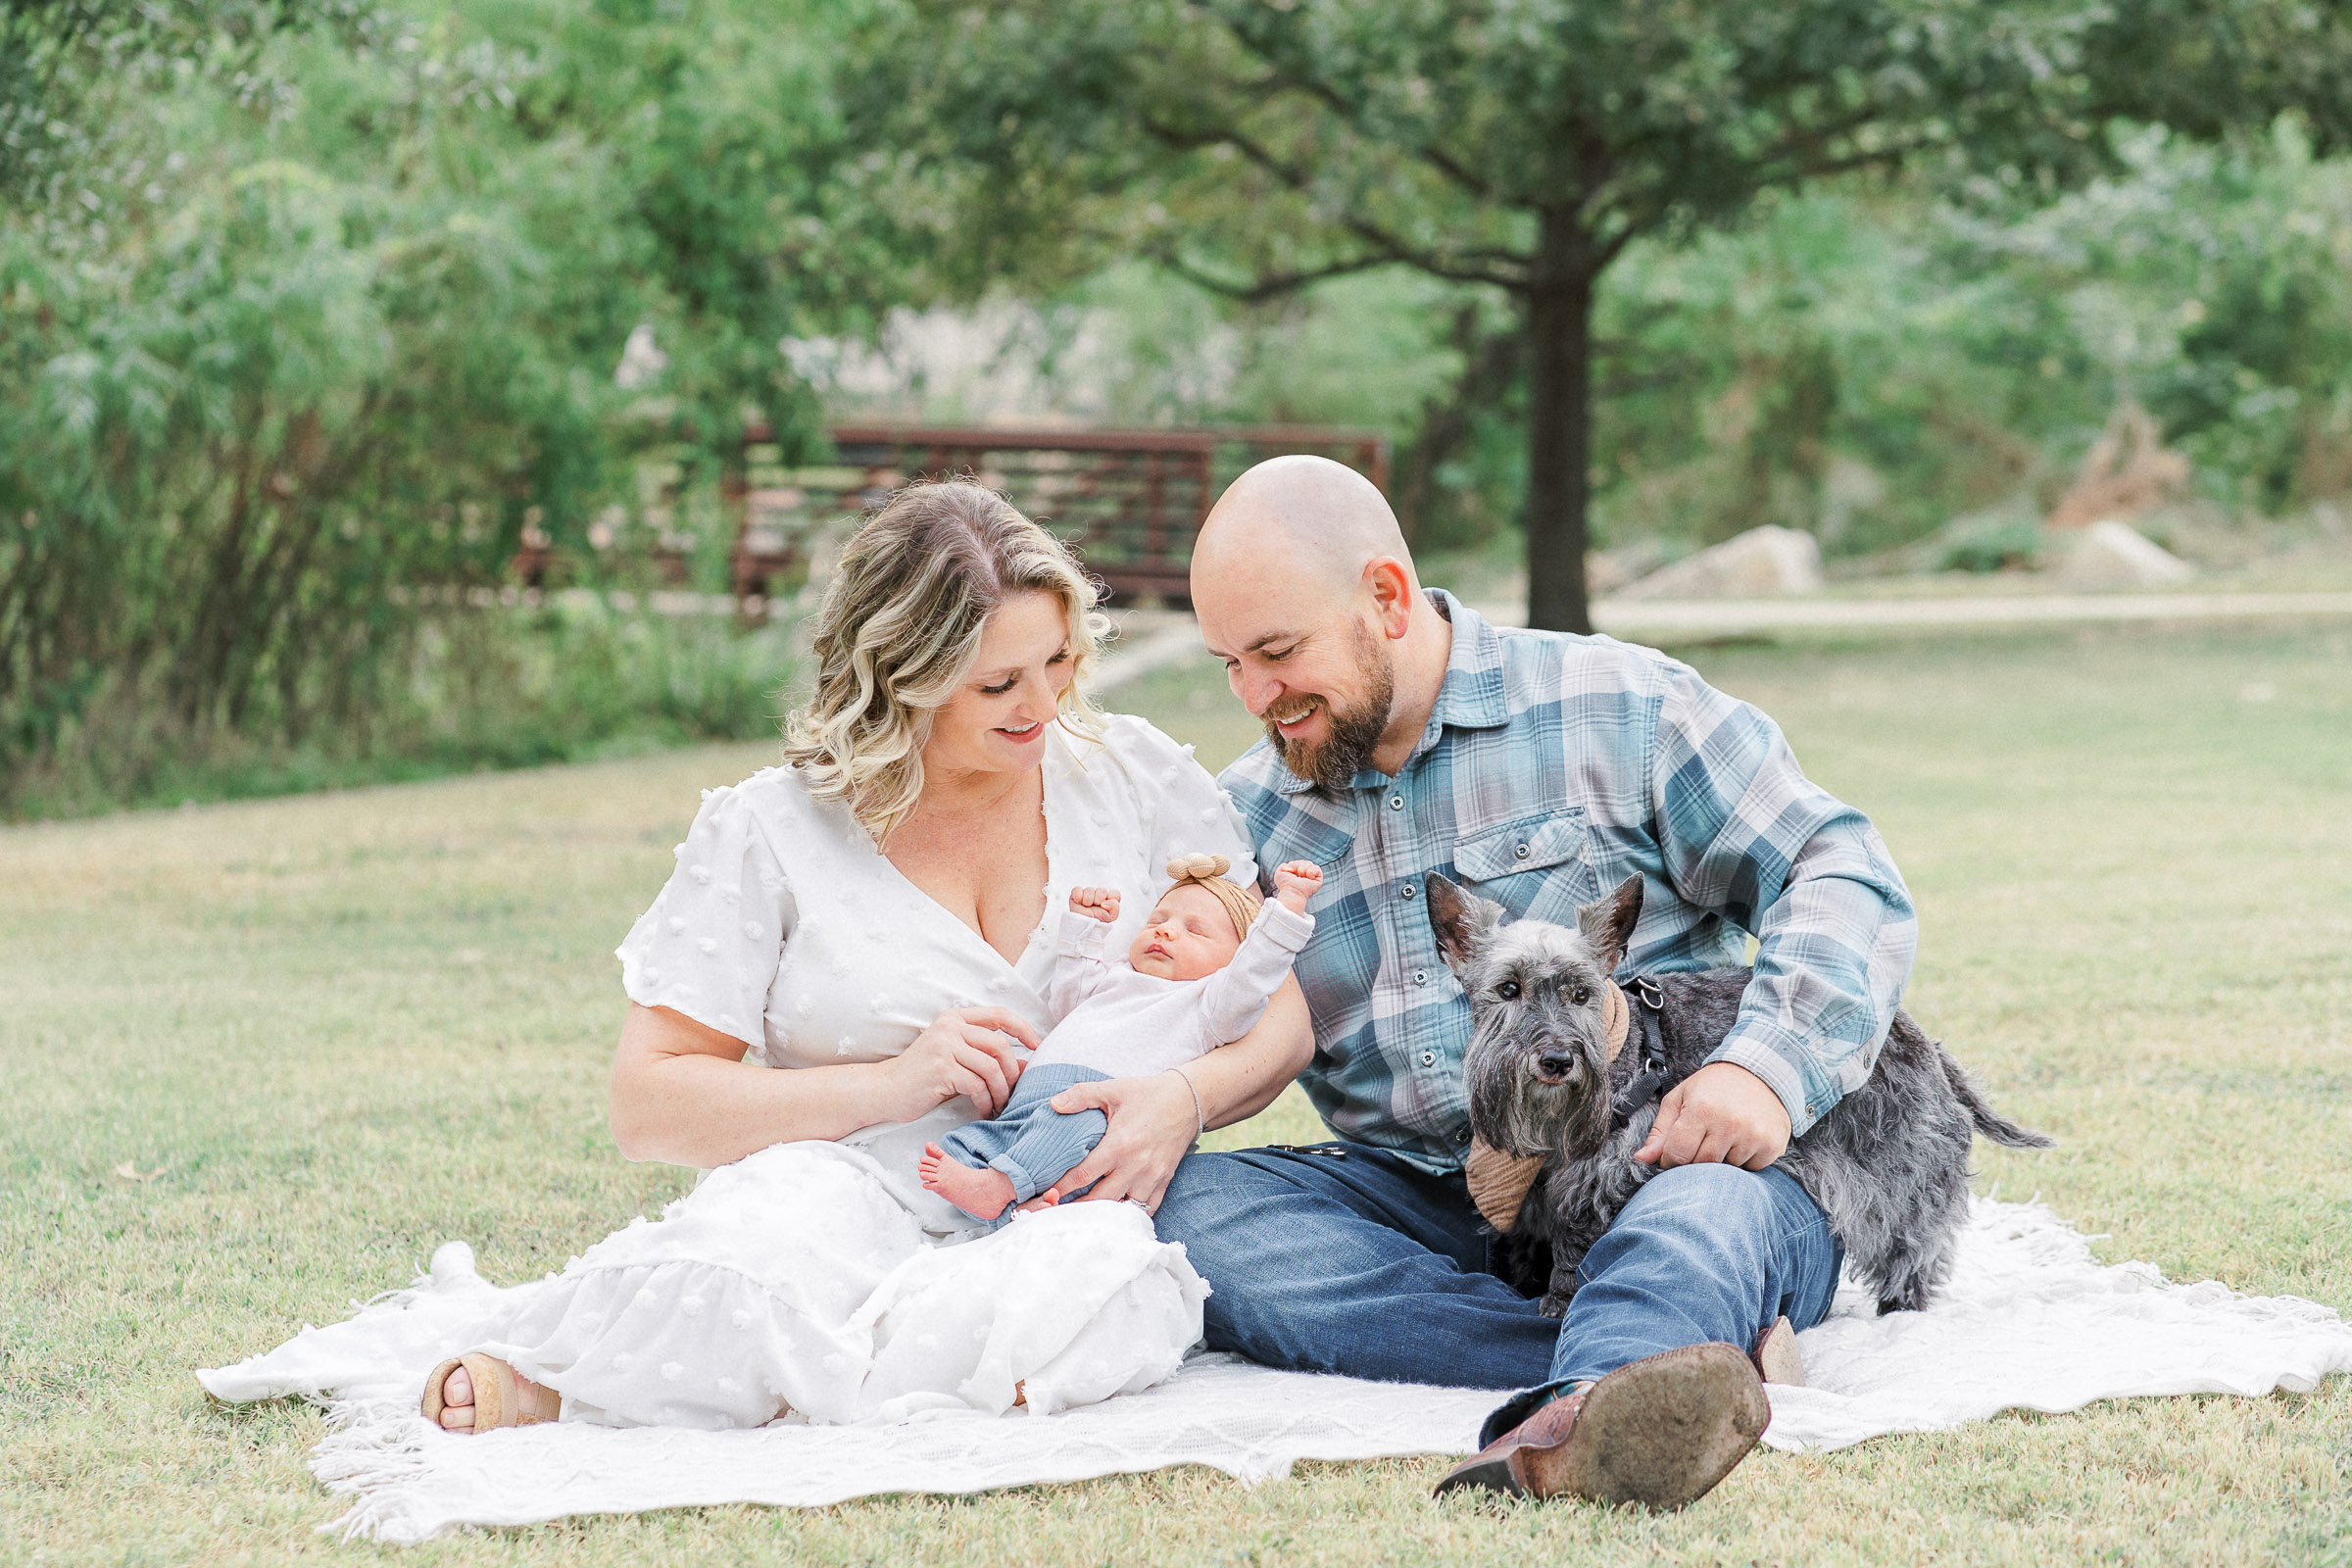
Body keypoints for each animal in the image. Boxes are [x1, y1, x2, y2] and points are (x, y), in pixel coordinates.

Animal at [1420, 869, 2050, 1325]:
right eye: (1508, 989)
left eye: (1581, 993)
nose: (1555, 1059)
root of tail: (1920, 1038)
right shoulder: (1530, 1205)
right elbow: (1528, 1246)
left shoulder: (1597, 1184)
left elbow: (1572, 1254)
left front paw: (1553, 1305)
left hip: (1898, 1187)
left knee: (1914, 1254)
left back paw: (1901, 1313)